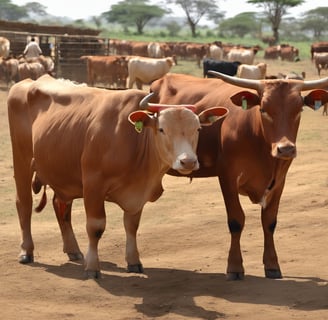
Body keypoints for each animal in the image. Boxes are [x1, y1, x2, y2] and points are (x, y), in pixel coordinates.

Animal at [7, 74, 228, 278]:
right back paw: (26, 250)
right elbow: (95, 227)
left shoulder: (138, 194)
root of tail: (28, 81)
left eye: (198, 129)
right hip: (22, 161)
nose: (188, 161)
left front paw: (133, 261)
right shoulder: (93, 185)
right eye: (162, 129)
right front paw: (92, 267)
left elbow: (131, 226)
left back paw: (73, 250)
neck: (135, 139)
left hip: (61, 172)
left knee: (61, 206)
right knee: (24, 204)